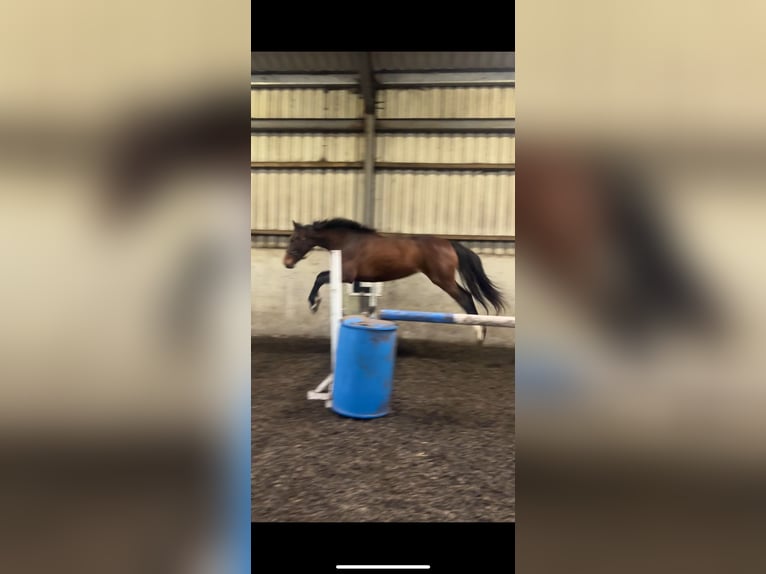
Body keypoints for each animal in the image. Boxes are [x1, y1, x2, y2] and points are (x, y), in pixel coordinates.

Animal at [283, 218, 507, 344]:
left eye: (295, 239)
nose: (287, 263)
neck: (347, 242)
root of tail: (449, 244)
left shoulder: (346, 275)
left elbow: (320, 277)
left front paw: (314, 304)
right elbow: (321, 277)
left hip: (442, 279)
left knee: (465, 296)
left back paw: (479, 331)